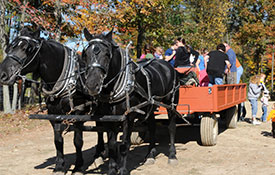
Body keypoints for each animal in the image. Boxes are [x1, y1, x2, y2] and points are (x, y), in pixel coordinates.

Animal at [0, 27, 92, 175]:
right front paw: (59, 166)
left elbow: (78, 141)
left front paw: (78, 166)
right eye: (10, 47)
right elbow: (58, 140)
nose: (3, 74)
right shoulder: (53, 114)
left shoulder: (79, 113)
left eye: (27, 49)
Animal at [81, 28, 181, 174]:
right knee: (152, 126)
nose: (92, 85)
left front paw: (122, 170)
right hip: (150, 105)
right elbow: (112, 144)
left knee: (172, 127)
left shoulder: (128, 118)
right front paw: (112, 169)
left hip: (171, 103)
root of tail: (167, 65)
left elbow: (124, 145)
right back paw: (150, 154)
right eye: (85, 55)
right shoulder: (109, 118)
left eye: (107, 54)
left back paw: (172, 155)